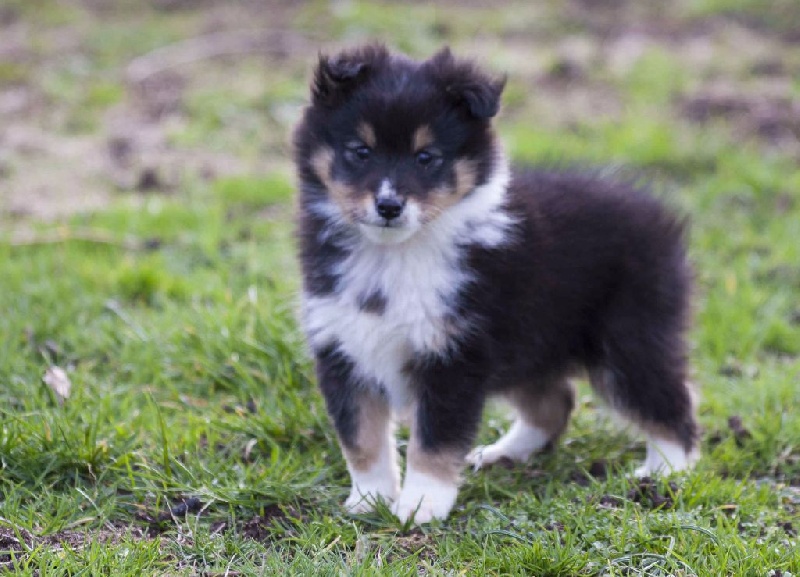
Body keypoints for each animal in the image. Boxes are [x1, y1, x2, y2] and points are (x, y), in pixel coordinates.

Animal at [294, 45, 700, 520]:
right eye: (360, 151)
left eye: (426, 157)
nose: (389, 206)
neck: (393, 253)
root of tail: (658, 217)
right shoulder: (343, 347)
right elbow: (361, 438)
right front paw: (369, 498)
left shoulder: (454, 355)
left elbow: (434, 439)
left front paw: (421, 505)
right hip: (533, 342)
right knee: (555, 403)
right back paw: (502, 454)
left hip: (628, 340)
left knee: (671, 404)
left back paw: (665, 472)